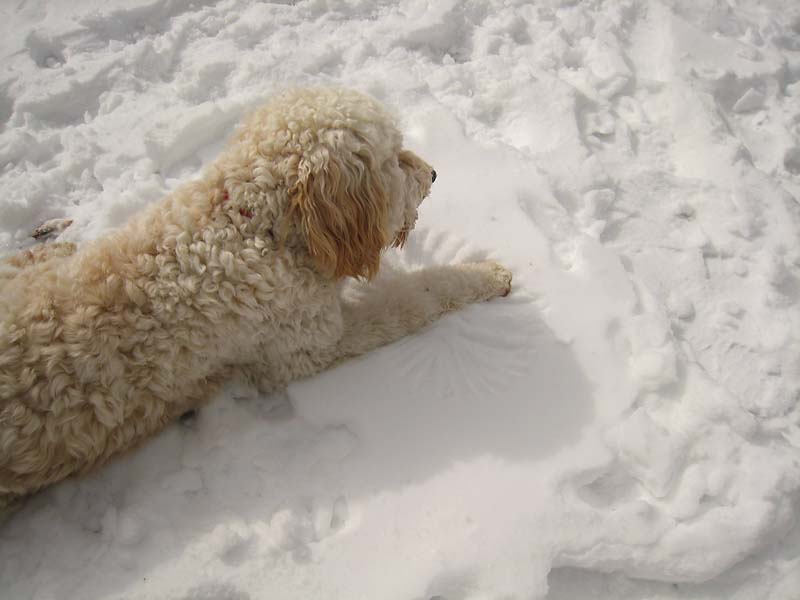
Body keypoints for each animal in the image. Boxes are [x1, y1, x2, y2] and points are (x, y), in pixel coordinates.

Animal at [0, 86, 510, 512]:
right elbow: (415, 296)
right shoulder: (309, 344)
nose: (434, 173)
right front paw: (485, 274)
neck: (255, 224)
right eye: (394, 158)